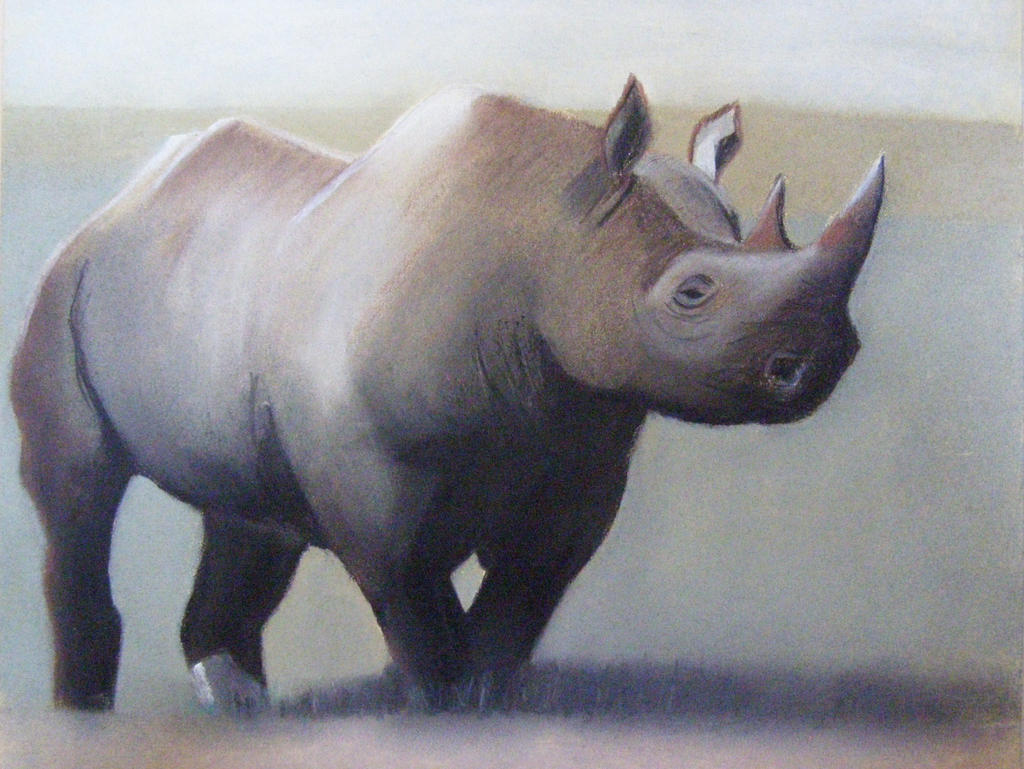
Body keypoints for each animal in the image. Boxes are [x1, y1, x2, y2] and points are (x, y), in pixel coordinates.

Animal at [10, 76, 883, 712]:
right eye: (691, 294)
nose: (823, 357)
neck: (553, 234)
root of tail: (125, 199)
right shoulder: (370, 464)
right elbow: (410, 588)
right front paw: (443, 700)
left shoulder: (579, 449)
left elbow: (526, 589)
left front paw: (491, 693)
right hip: (63, 290)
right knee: (79, 494)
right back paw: (86, 709)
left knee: (251, 515)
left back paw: (239, 705)